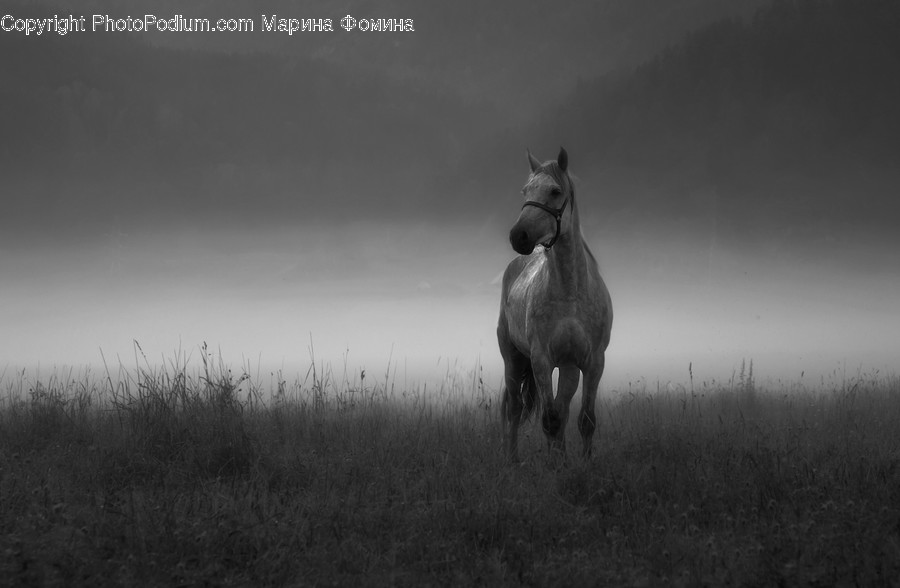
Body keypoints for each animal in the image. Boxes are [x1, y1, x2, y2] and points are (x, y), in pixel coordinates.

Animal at [497, 147, 612, 462]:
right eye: (525, 190)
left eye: (555, 191)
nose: (519, 236)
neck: (570, 293)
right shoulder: (541, 360)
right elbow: (549, 420)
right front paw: (554, 466)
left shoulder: (593, 362)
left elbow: (584, 420)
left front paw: (582, 464)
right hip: (512, 359)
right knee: (514, 409)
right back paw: (511, 458)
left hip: (569, 368)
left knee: (562, 409)